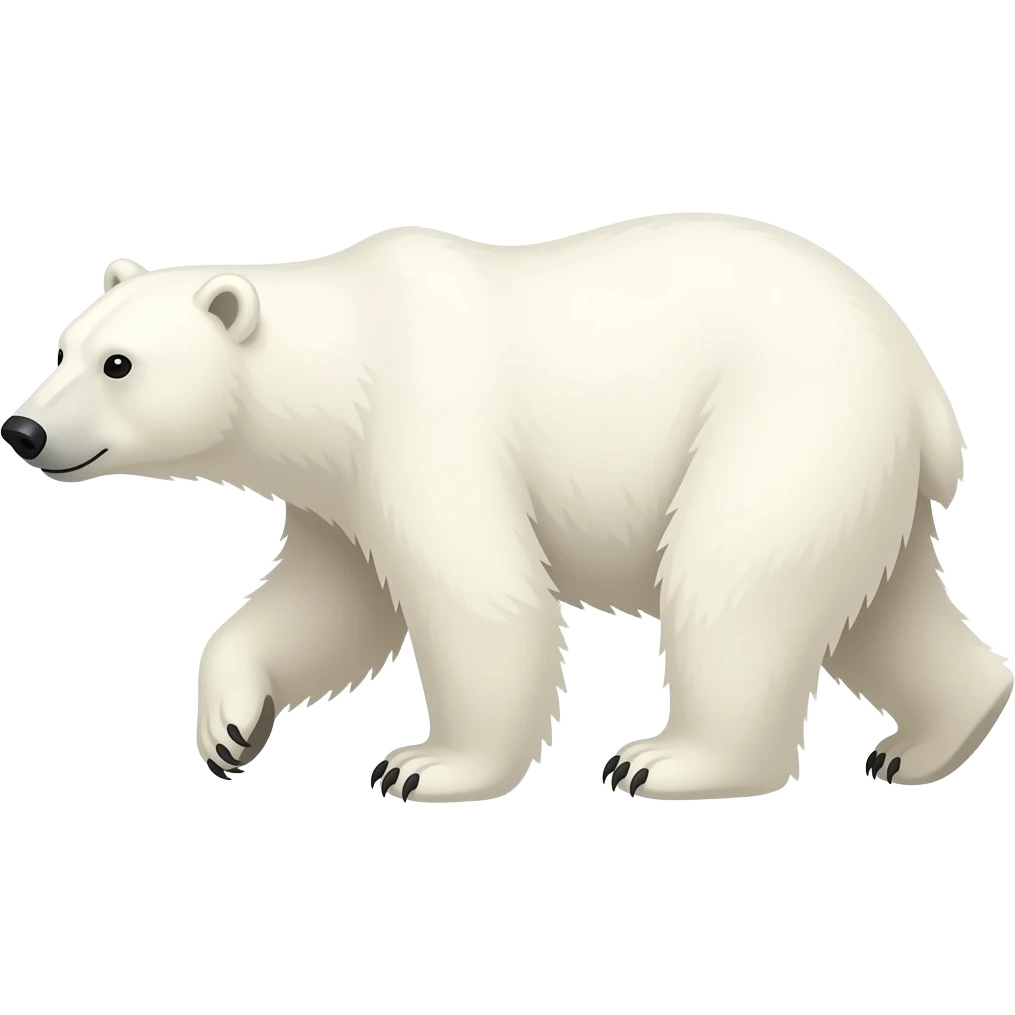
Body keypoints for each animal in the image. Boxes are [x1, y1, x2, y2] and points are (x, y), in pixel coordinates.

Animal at [3, 216, 1011, 802]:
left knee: (731, 585)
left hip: (779, 423)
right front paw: (229, 728)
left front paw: (421, 764)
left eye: (120, 364)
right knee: (883, 604)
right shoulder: (340, 492)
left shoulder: (425, 426)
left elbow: (478, 600)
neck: (343, 356)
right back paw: (926, 739)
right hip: (854, 468)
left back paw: (664, 758)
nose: (24, 429)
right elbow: (329, 605)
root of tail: (918, 373)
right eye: (64, 342)